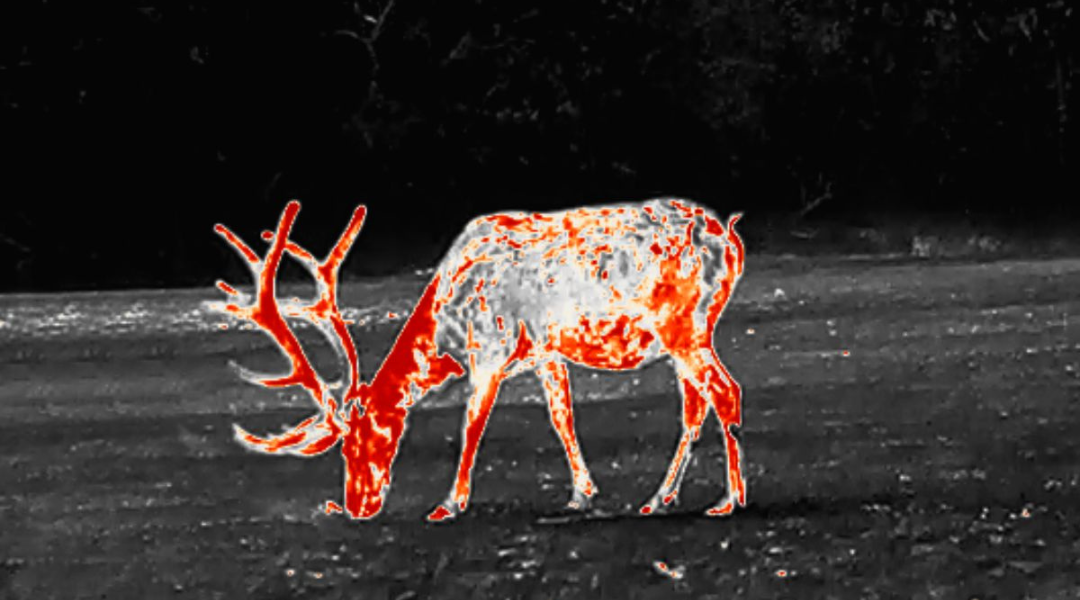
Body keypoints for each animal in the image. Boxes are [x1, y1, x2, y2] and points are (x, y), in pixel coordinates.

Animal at [212, 198, 746, 522]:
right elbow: (562, 419)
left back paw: (729, 498)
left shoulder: (488, 346)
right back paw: (660, 498)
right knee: (695, 405)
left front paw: (449, 503)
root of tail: (730, 240)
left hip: (682, 325)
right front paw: (581, 493)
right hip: (686, 334)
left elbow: (471, 424)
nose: (357, 505)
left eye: (361, 442)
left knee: (725, 391)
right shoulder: (546, 352)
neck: (446, 329)